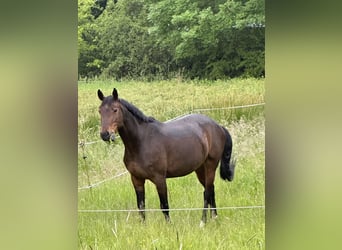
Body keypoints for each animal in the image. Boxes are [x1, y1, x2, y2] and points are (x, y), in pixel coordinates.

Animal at [96, 87, 235, 225]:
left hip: (210, 166)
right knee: (210, 190)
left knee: (207, 192)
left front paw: (169, 226)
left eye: (115, 109)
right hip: (200, 168)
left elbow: (164, 205)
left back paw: (203, 221)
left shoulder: (160, 179)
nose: (105, 134)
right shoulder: (136, 179)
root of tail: (217, 126)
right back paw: (214, 217)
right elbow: (141, 206)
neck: (141, 141)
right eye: (100, 111)